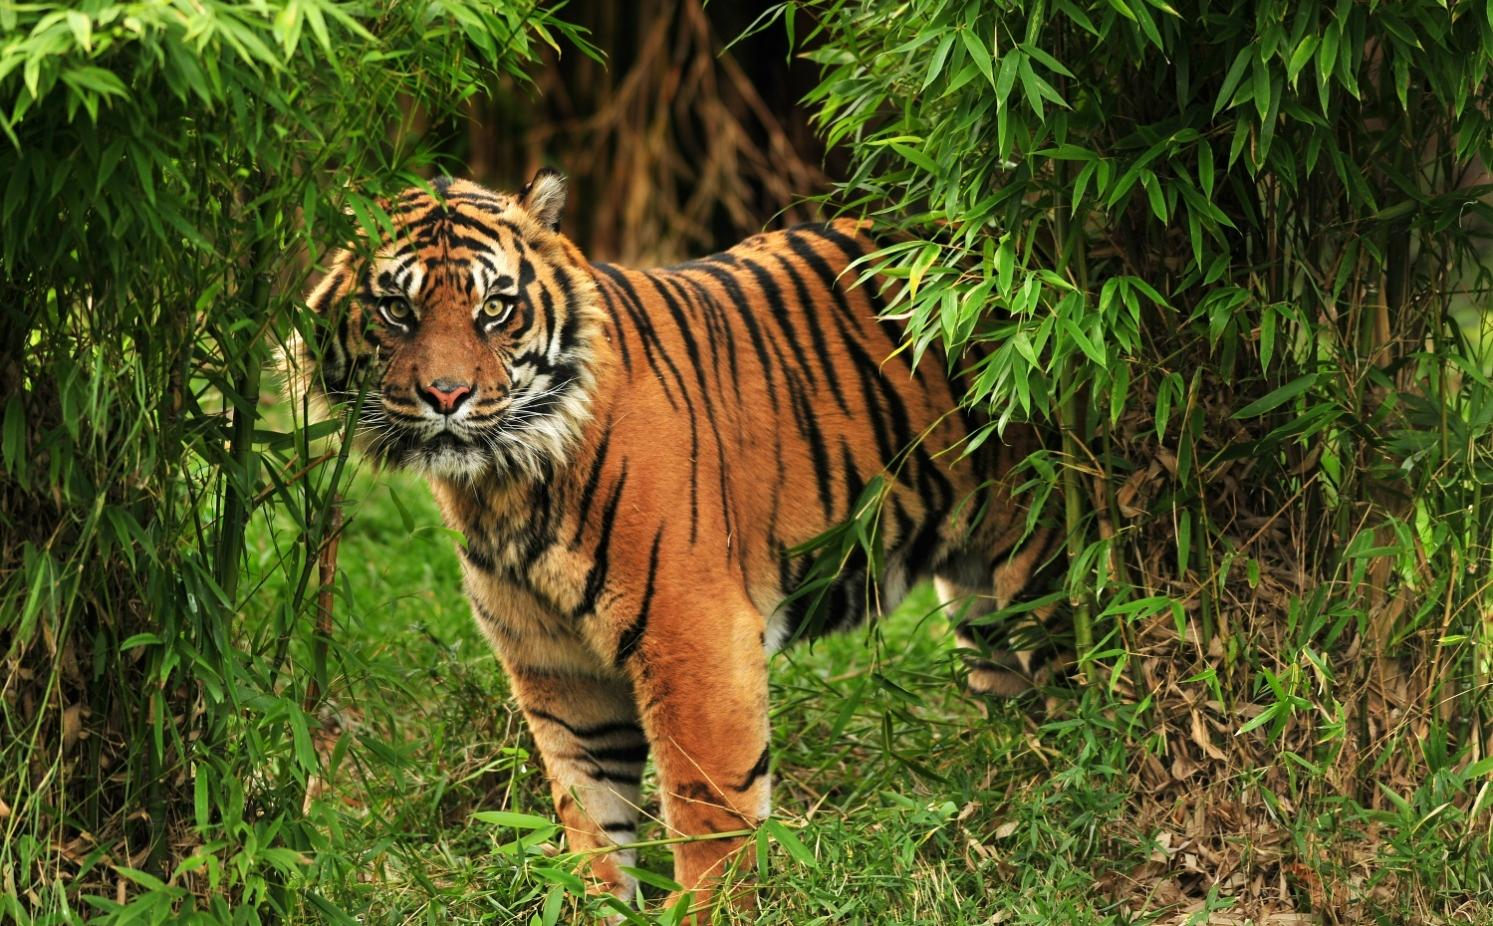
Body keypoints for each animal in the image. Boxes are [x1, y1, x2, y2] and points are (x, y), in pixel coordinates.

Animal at [291, 173, 1063, 920]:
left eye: (495, 309)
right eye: (396, 309)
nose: (446, 395)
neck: (502, 483)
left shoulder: (695, 636)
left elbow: (709, 810)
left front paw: (706, 909)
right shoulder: (556, 667)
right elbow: (591, 817)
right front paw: (592, 908)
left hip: (1044, 559)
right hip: (982, 607)